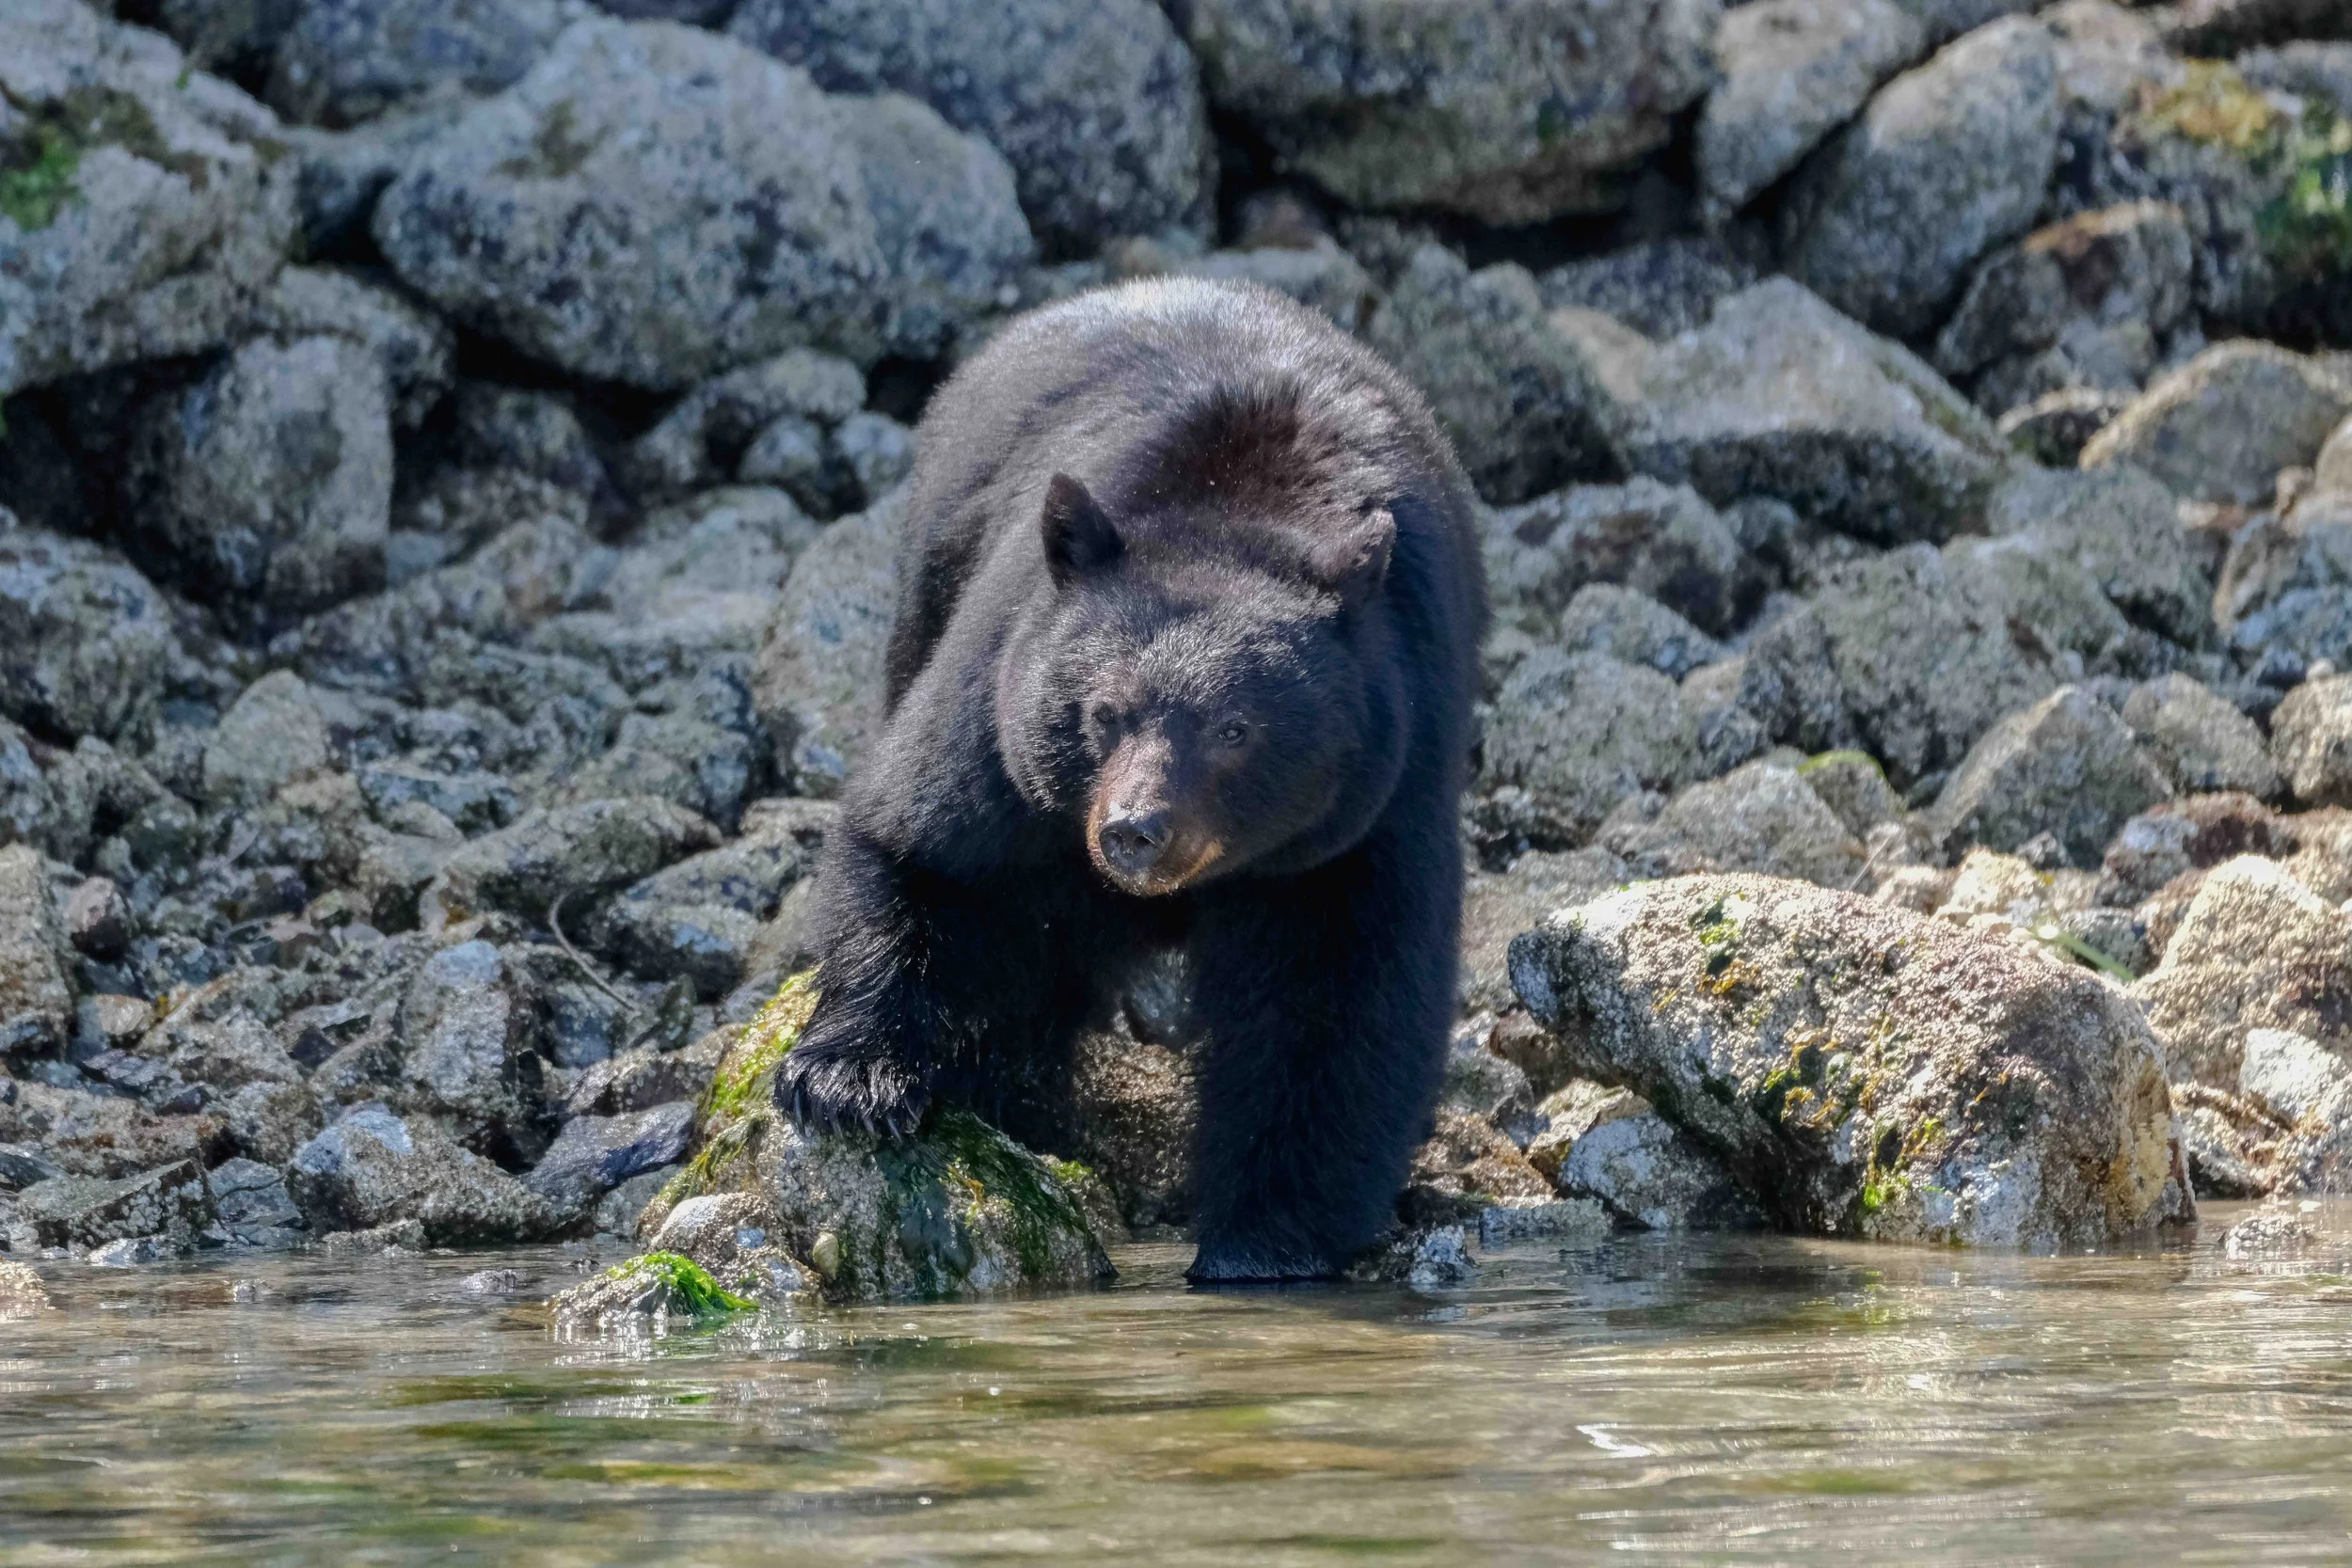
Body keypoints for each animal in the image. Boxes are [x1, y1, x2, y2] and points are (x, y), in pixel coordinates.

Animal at [774, 277, 1486, 1281]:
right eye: (1106, 711)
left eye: (1236, 729)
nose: (1134, 831)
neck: (1240, 509)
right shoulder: (1005, 707)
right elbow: (930, 846)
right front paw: (850, 1082)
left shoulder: (1382, 780)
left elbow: (1342, 990)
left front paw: (1265, 1238)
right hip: (930, 583)